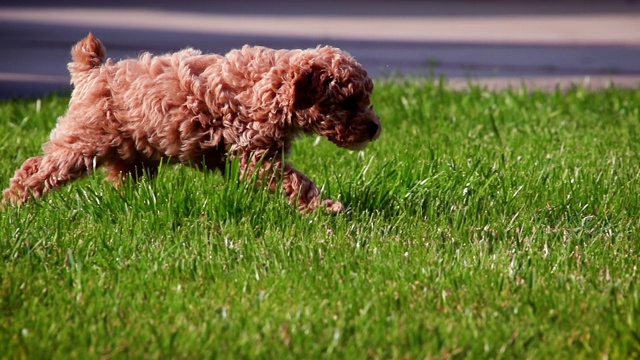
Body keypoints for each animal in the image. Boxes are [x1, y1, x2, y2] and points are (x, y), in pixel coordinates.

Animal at [1, 32, 380, 212]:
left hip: (131, 150)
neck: (273, 86)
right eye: (348, 102)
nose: (375, 127)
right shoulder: (258, 155)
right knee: (38, 167)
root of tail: (93, 71)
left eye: (367, 98)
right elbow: (295, 182)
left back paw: (136, 204)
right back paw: (14, 202)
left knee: (124, 176)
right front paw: (325, 207)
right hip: (83, 139)